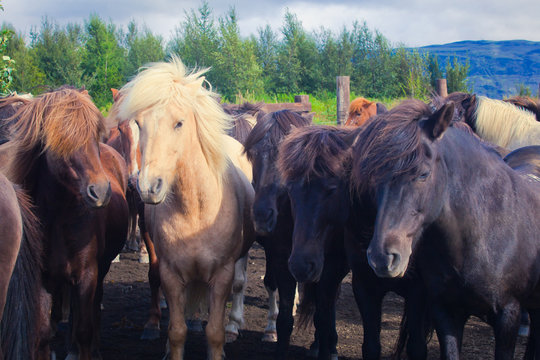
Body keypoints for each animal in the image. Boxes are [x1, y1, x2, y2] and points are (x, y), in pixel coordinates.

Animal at [0, 88, 129, 360]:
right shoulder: (42, 279)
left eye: (94, 136)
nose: (100, 191)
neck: (59, 219)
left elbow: (83, 329)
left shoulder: (87, 275)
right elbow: (42, 333)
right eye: (61, 140)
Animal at [117, 57, 255, 358]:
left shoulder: (222, 276)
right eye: (139, 123)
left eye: (179, 123)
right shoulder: (171, 274)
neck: (196, 210)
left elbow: (214, 332)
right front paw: (170, 344)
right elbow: (177, 330)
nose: (148, 186)